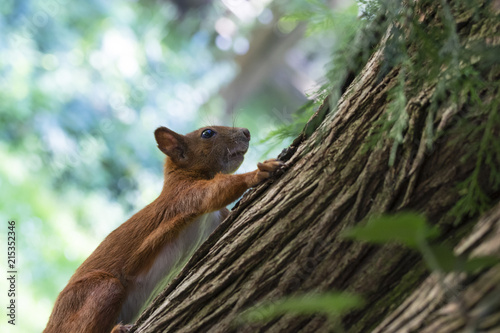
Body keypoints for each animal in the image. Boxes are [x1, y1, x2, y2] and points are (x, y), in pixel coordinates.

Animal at [43, 125, 286, 332]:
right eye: (207, 133)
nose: (246, 132)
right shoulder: (183, 197)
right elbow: (215, 192)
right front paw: (259, 173)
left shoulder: (216, 216)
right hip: (97, 290)